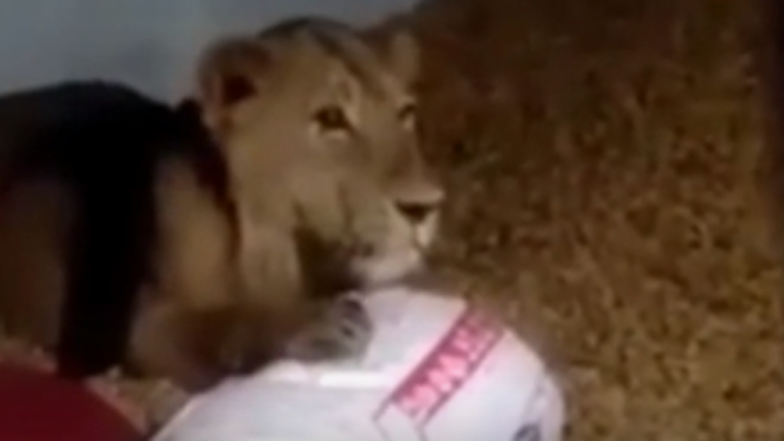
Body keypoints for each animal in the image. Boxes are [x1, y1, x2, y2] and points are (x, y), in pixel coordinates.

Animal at [0, 16, 444, 391]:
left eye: (406, 112)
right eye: (330, 118)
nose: (426, 207)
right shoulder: (138, 324)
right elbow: (215, 325)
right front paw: (310, 323)